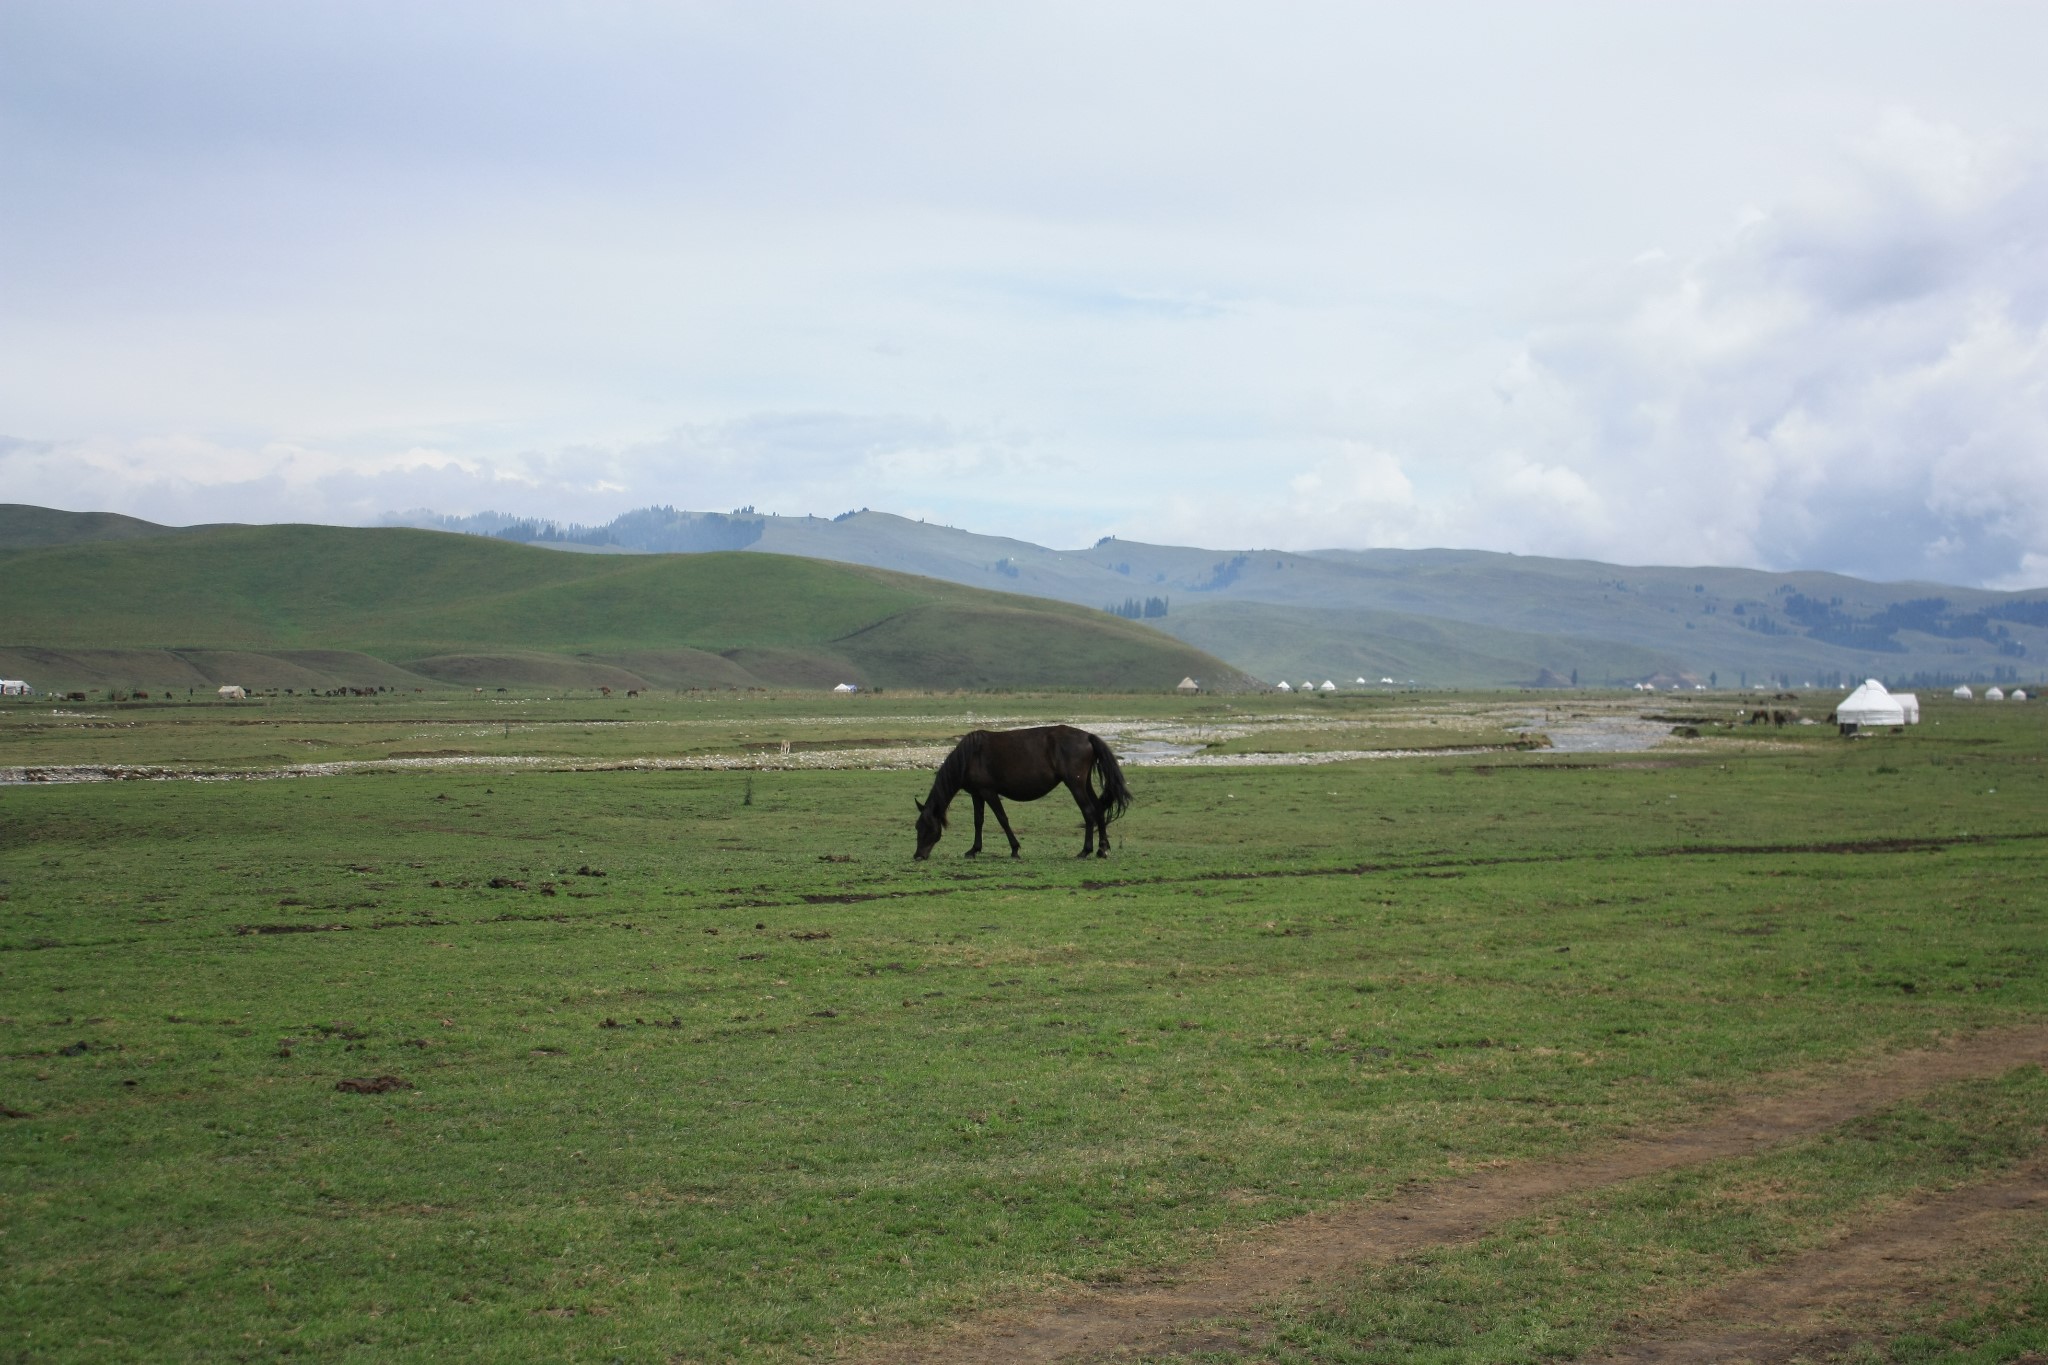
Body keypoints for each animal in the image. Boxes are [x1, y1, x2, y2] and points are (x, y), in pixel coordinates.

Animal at [917, 724, 1138, 855]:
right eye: (917, 827)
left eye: (925, 827)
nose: (918, 855)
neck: (970, 756)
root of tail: (1088, 736)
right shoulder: (977, 794)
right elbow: (978, 821)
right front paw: (974, 849)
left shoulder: (989, 792)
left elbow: (1002, 819)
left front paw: (1015, 849)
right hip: (1084, 784)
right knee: (1099, 810)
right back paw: (1102, 849)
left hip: (1075, 785)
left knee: (1089, 812)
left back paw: (1086, 850)